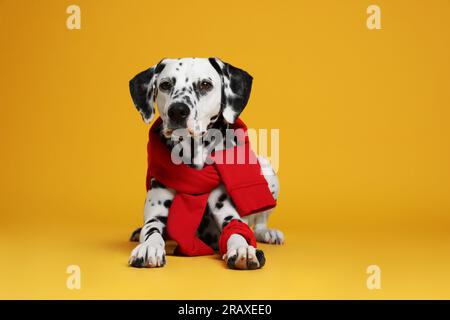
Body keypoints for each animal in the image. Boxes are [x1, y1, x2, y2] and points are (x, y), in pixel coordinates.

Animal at [128, 58, 284, 270]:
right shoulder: (155, 213)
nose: (178, 110)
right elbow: (152, 230)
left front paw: (244, 249)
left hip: (267, 169)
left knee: (259, 223)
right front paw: (149, 246)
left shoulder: (227, 212)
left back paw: (268, 232)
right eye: (165, 85)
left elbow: (238, 231)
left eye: (205, 85)